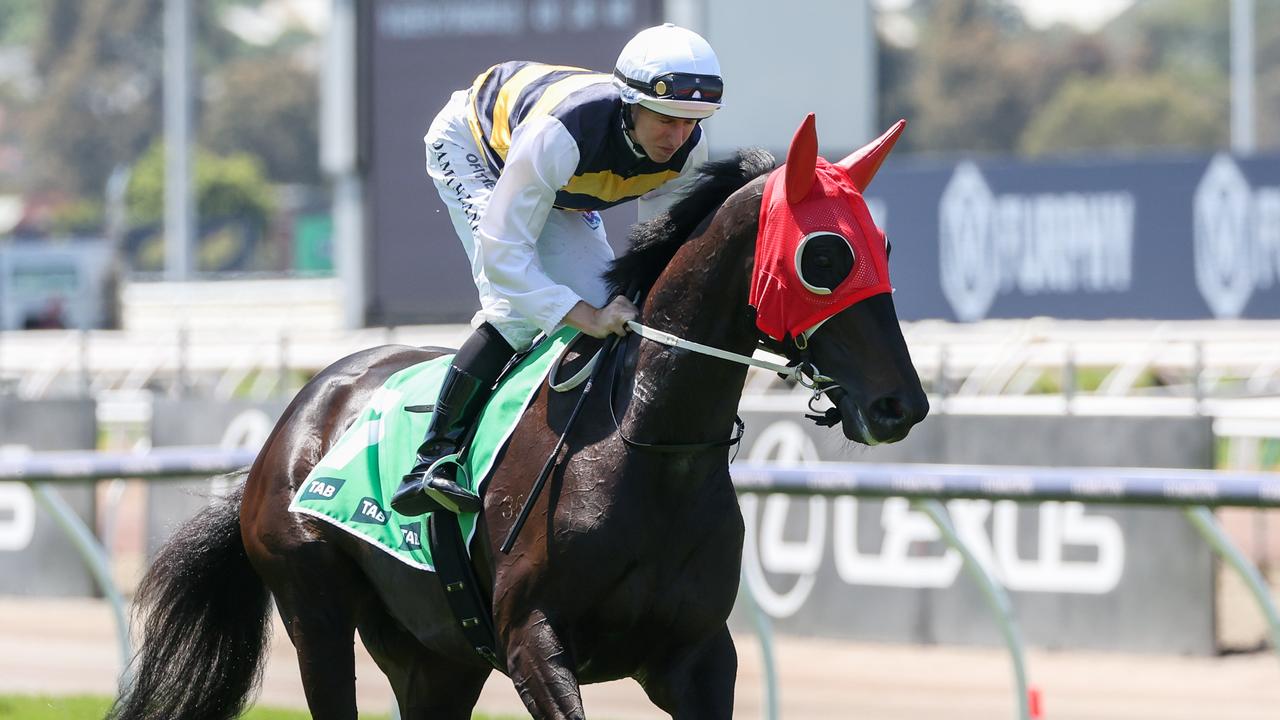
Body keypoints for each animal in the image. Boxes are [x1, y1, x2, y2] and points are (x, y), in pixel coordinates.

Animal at [110, 117, 926, 717]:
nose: (902, 404)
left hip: (434, 655)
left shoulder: (696, 656)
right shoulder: (532, 640)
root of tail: (290, 426)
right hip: (315, 607)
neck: (644, 446)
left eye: (885, 246)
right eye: (824, 256)